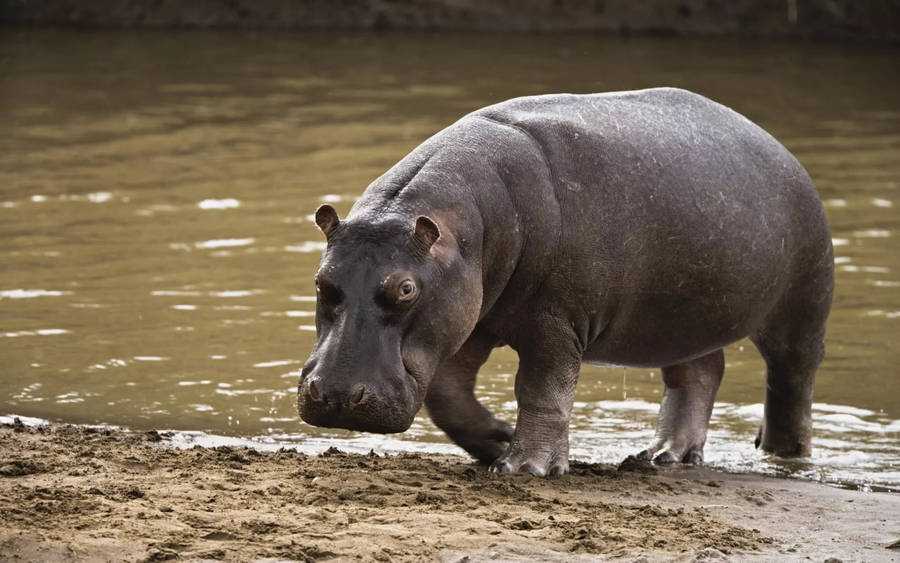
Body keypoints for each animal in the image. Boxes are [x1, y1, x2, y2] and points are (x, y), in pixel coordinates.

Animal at [297, 87, 833, 477]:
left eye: (405, 289)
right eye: (322, 281)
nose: (337, 397)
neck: (465, 227)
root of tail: (779, 147)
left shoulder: (555, 322)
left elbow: (542, 389)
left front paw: (525, 468)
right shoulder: (469, 318)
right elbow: (447, 395)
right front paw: (496, 440)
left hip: (802, 306)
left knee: (791, 383)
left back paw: (784, 457)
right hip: (685, 316)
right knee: (699, 374)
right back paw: (664, 456)